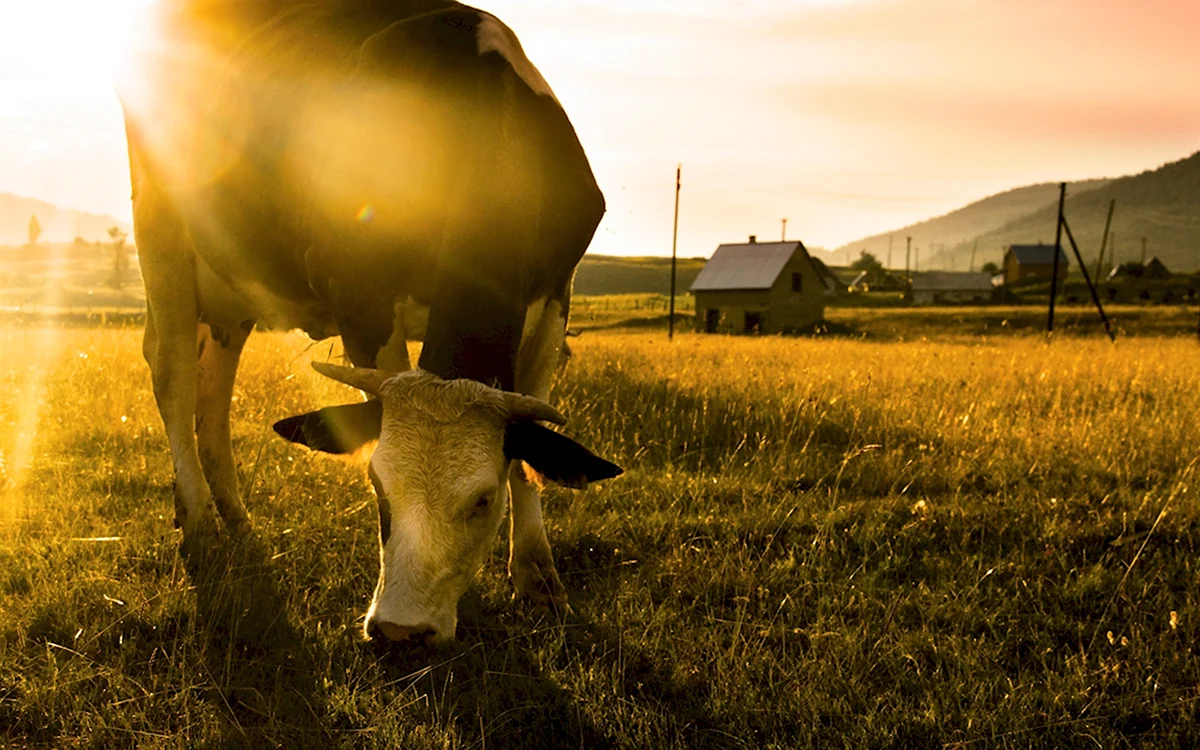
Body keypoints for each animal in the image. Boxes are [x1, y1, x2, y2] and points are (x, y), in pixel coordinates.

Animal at [118, 0, 623, 644]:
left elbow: (529, 456)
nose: (400, 632)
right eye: (378, 487)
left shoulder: (557, 295)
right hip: (161, 228)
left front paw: (538, 580)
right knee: (175, 375)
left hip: (234, 279)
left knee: (214, 388)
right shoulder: (362, 299)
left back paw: (233, 511)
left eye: (482, 501)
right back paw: (201, 519)